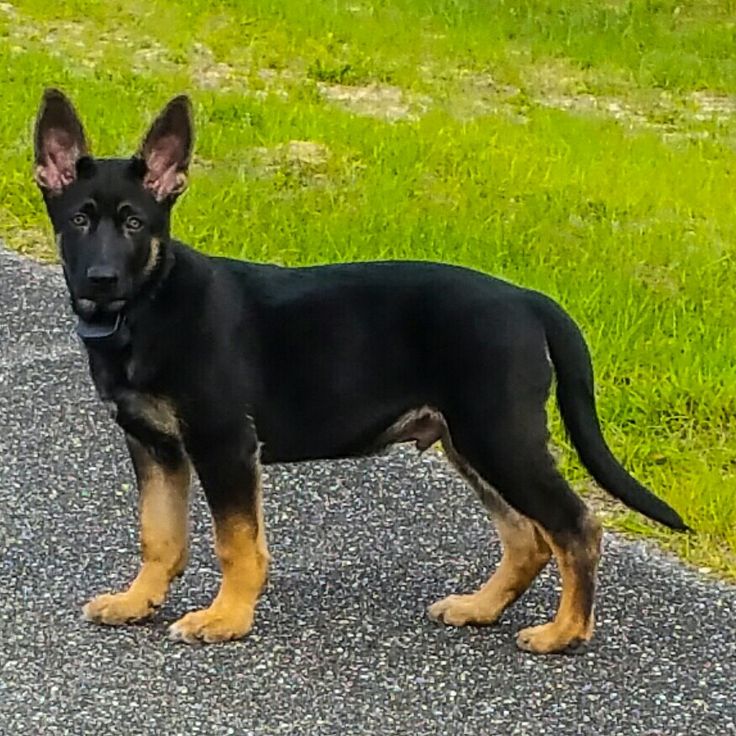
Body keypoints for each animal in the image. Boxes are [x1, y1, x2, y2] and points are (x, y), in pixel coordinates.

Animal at [33, 89, 688, 652]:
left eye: (136, 224)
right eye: (79, 220)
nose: (101, 279)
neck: (147, 305)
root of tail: (530, 299)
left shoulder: (225, 445)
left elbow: (236, 543)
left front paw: (227, 619)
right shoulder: (154, 447)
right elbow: (159, 535)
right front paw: (137, 602)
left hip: (499, 436)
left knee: (576, 527)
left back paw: (564, 632)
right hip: (469, 442)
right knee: (527, 538)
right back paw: (479, 608)